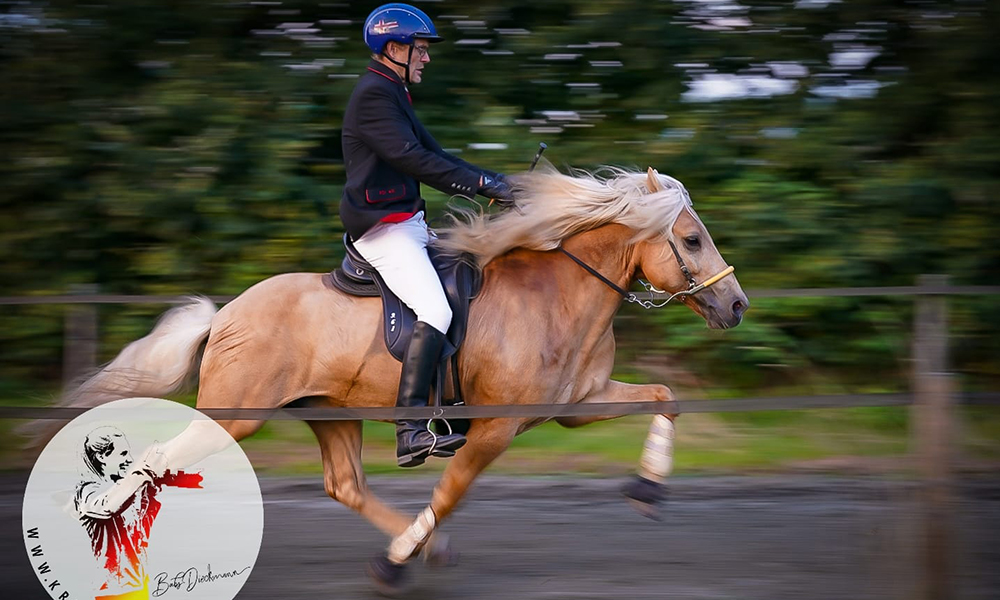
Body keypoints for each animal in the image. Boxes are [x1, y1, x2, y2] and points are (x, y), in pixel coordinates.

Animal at [50, 165, 748, 592]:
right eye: (692, 239)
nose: (737, 305)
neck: (558, 295)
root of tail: (226, 314)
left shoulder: (579, 404)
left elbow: (665, 398)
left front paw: (649, 490)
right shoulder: (495, 429)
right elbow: (452, 490)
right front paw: (392, 566)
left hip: (330, 412)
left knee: (345, 485)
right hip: (237, 415)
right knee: (155, 460)